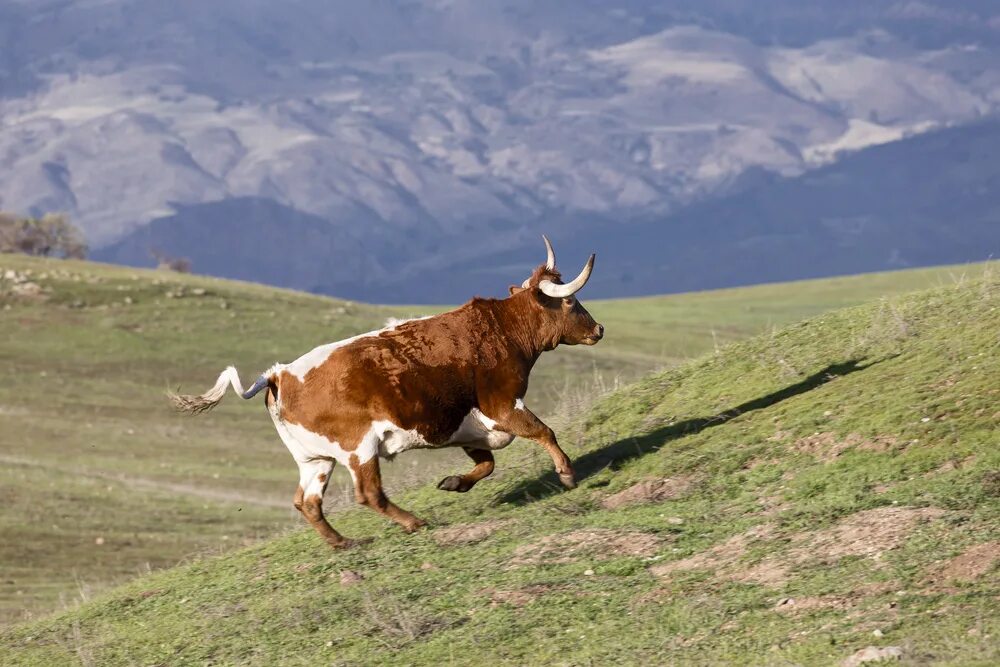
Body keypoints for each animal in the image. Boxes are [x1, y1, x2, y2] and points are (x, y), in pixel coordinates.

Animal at [169, 235, 604, 548]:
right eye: (571, 302)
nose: (599, 329)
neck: (502, 329)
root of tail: (280, 375)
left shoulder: (471, 425)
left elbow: (488, 463)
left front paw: (453, 483)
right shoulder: (502, 405)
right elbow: (543, 431)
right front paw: (567, 474)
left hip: (315, 458)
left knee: (307, 502)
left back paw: (344, 543)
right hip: (357, 449)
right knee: (369, 494)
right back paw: (414, 522)